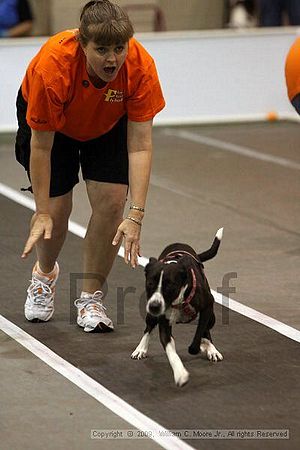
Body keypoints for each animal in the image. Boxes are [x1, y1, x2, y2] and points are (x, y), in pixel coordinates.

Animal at [130, 229, 224, 386]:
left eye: (170, 286)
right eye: (150, 284)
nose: (154, 306)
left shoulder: (207, 306)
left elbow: (200, 331)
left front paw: (200, 346)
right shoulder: (163, 324)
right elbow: (170, 350)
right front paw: (180, 373)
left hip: (212, 316)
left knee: (207, 328)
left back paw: (211, 348)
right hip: (151, 316)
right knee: (148, 328)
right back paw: (141, 349)